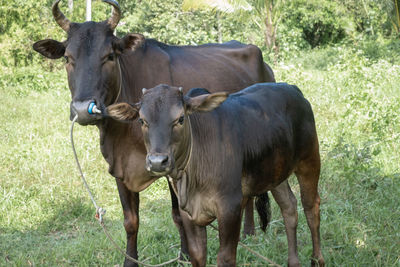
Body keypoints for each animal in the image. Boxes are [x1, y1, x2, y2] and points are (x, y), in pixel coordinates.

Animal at [32, 0, 276, 266]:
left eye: (109, 56)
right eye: (67, 57)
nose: (82, 109)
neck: (120, 133)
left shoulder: (174, 165)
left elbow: (178, 214)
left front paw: (184, 255)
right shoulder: (120, 168)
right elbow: (130, 222)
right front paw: (130, 260)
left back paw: (249, 231)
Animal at [107, 82, 324, 266]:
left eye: (180, 118)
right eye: (142, 120)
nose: (157, 162)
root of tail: (293, 89)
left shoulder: (230, 208)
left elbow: (225, 257)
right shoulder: (188, 214)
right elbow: (198, 255)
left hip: (309, 160)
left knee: (311, 207)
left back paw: (317, 260)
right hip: (275, 174)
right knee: (289, 207)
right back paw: (293, 262)